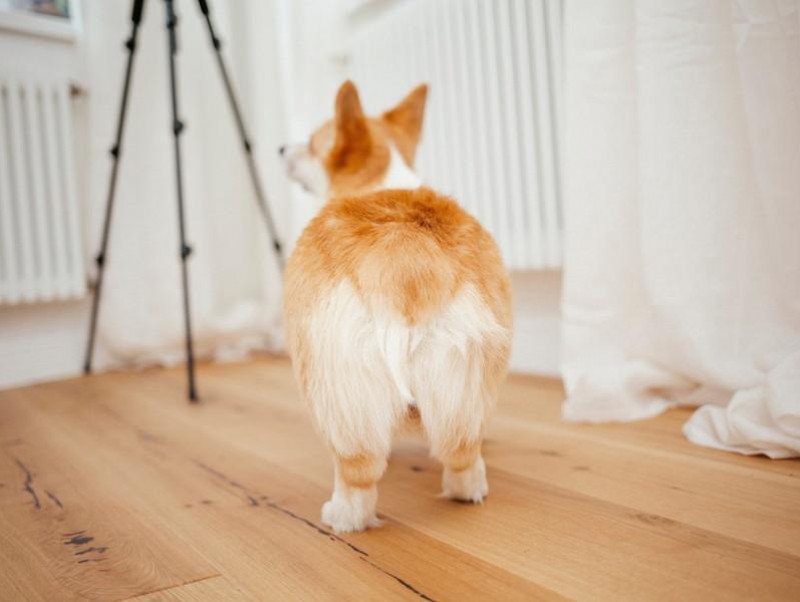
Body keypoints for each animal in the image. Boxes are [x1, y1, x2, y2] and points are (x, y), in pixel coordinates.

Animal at [282, 82, 512, 532]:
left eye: (315, 143)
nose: (281, 147)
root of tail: (405, 260)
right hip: (470, 376)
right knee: (463, 452)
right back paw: (468, 490)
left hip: (337, 384)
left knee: (358, 471)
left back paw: (341, 516)